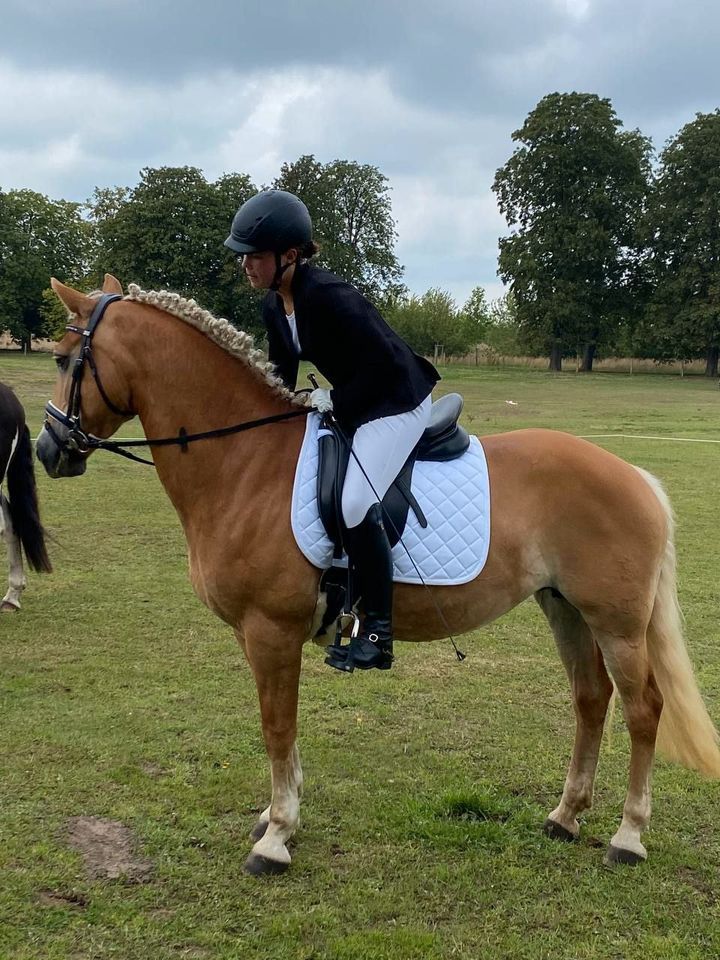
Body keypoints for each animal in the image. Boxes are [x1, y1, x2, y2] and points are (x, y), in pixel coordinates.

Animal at [35, 276, 720, 876]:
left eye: (68, 360)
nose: (47, 451)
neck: (244, 461)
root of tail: (635, 476)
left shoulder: (270, 630)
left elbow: (276, 726)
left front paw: (276, 839)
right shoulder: (258, 637)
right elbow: (280, 729)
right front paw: (278, 817)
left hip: (617, 623)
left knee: (643, 709)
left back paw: (627, 836)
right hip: (565, 609)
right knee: (590, 699)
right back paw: (565, 817)